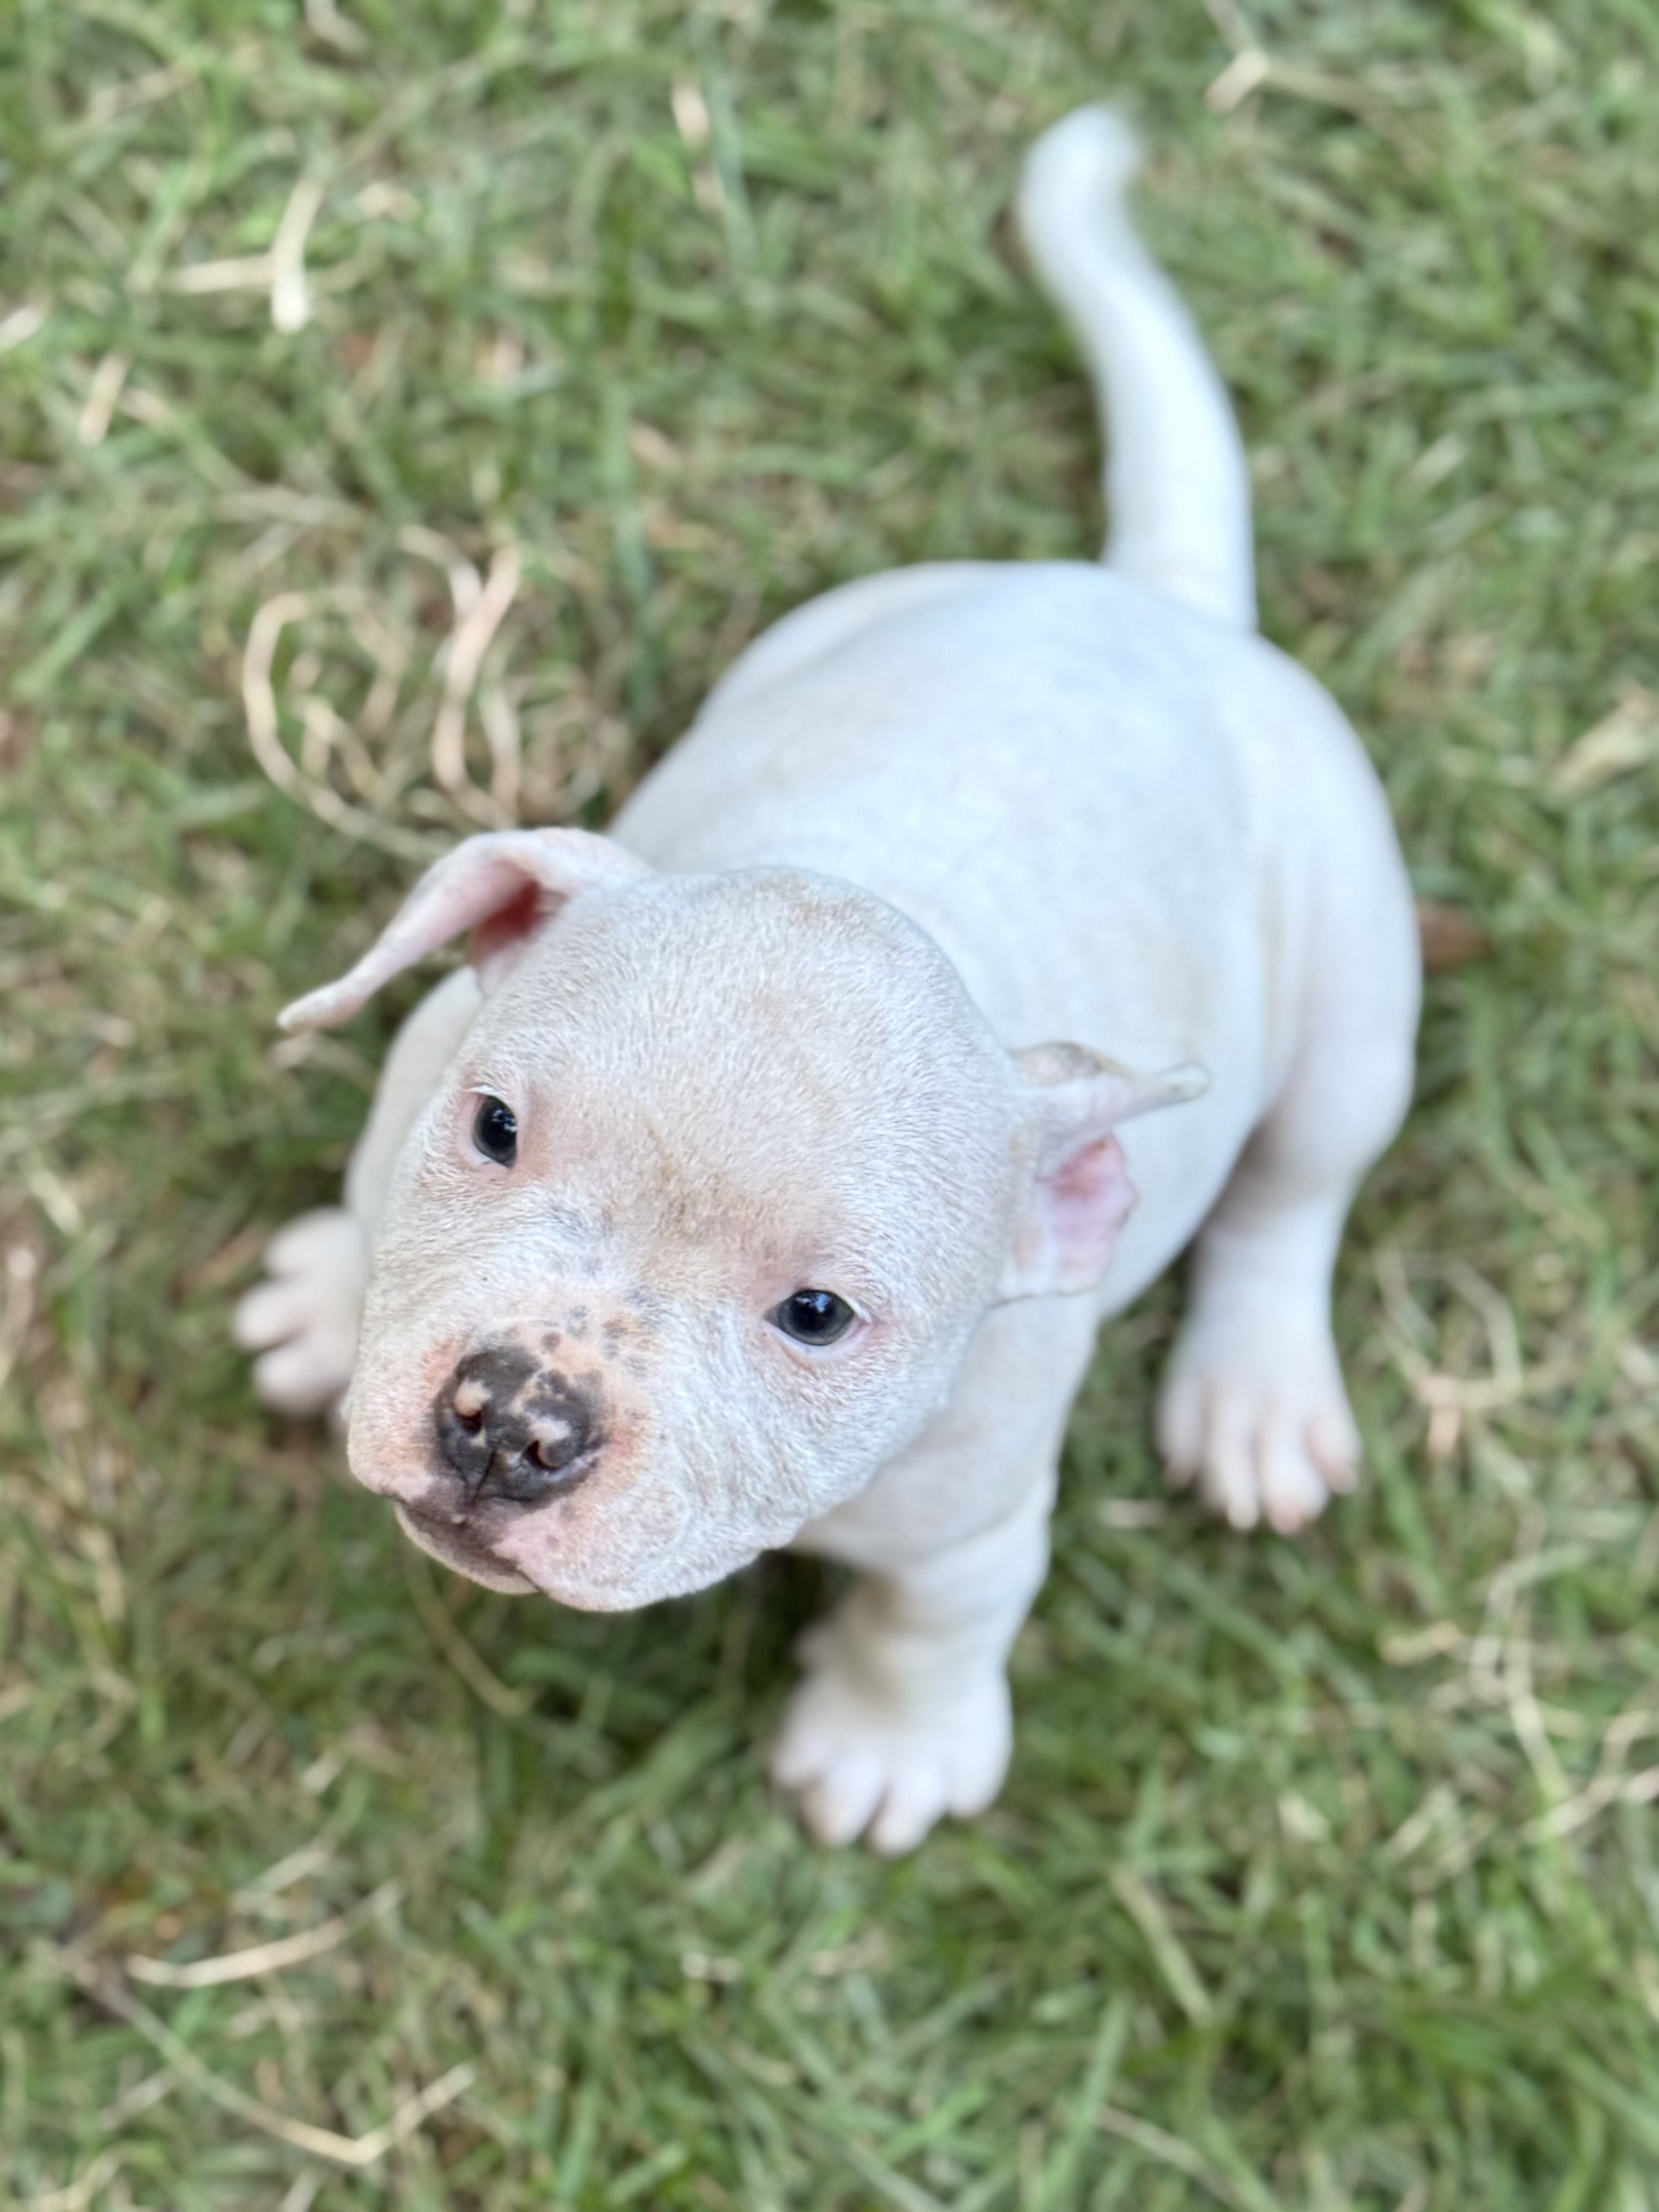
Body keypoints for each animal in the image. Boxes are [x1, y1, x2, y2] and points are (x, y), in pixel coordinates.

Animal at [240, 112, 1424, 1858]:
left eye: (816, 1317)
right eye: (495, 1129)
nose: (512, 1420)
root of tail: (1157, 599)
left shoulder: (970, 1508)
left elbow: (931, 1618)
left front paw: (886, 1748)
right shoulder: (422, 1062)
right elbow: (372, 1190)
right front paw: (328, 1297)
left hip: (1352, 976)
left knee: (1295, 1189)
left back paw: (1254, 1395)